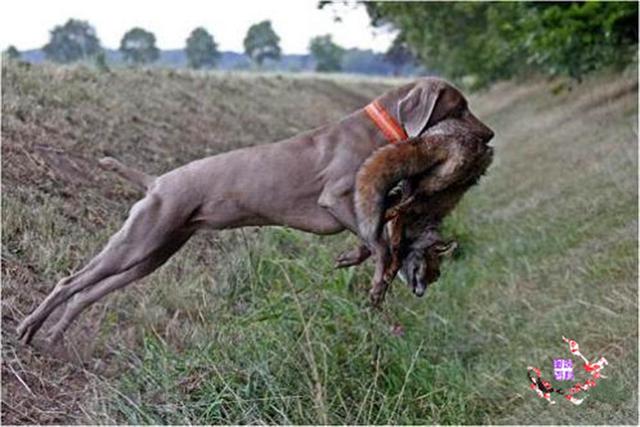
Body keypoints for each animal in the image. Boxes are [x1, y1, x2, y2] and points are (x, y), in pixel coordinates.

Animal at [17, 77, 492, 346]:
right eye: (461, 107)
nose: (488, 135)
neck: (379, 126)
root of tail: (156, 182)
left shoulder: (366, 199)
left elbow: (380, 225)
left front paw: (356, 258)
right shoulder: (338, 197)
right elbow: (376, 237)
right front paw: (375, 274)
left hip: (155, 252)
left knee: (87, 293)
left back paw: (52, 337)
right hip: (139, 240)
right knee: (69, 282)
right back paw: (28, 328)